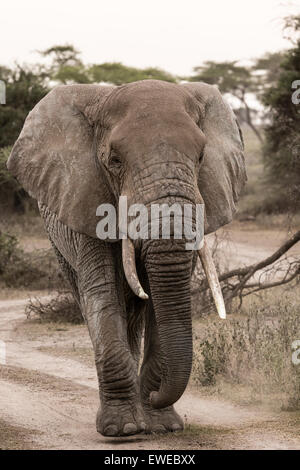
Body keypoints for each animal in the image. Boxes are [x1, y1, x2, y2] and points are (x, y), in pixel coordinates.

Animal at [7, 80, 246, 436]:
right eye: (115, 160)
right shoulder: (86, 197)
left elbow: (164, 301)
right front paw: (123, 429)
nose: (157, 396)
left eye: (202, 156)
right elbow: (103, 292)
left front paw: (162, 425)